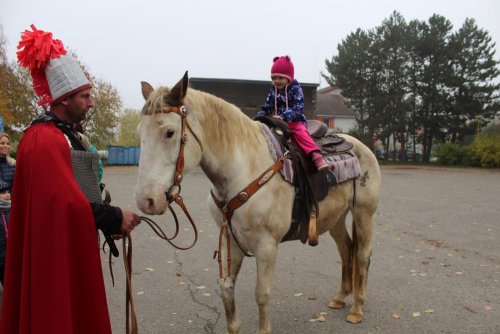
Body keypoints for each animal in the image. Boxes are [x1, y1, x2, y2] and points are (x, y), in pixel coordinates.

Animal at [135, 73, 380, 334]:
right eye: (140, 133)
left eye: (169, 132)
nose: (146, 201)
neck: (245, 169)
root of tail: (360, 147)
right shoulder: (230, 239)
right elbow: (226, 289)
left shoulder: (267, 244)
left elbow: (261, 294)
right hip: (336, 218)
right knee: (346, 249)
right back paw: (340, 297)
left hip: (364, 214)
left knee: (363, 255)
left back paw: (357, 309)